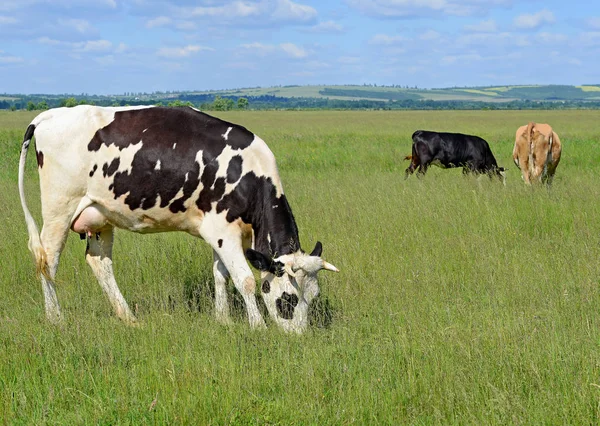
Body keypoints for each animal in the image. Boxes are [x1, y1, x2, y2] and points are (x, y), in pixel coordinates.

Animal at [17, 105, 338, 334]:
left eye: (315, 296)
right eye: (289, 299)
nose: (298, 336)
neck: (250, 174)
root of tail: (51, 114)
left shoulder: (220, 232)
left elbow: (220, 275)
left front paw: (223, 320)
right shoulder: (223, 230)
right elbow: (244, 280)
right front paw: (257, 326)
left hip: (100, 215)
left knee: (100, 263)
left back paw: (128, 317)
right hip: (60, 207)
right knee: (48, 260)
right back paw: (56, 318)